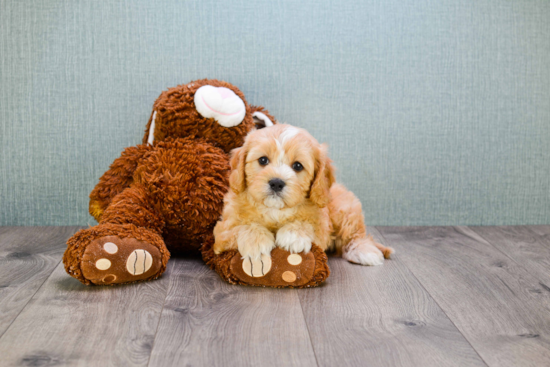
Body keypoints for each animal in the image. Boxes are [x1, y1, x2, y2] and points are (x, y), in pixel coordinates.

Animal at [213, 125, 394, 266]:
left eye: (298, 166)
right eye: (263, 160)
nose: (276, 183)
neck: (275, 210)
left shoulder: (322, 227)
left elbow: (307, 225)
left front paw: (293, 235)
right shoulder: (222, 230)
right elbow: (241, 227)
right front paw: (256, 241)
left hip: (345, 210)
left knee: (357, 235)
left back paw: (365, 252)